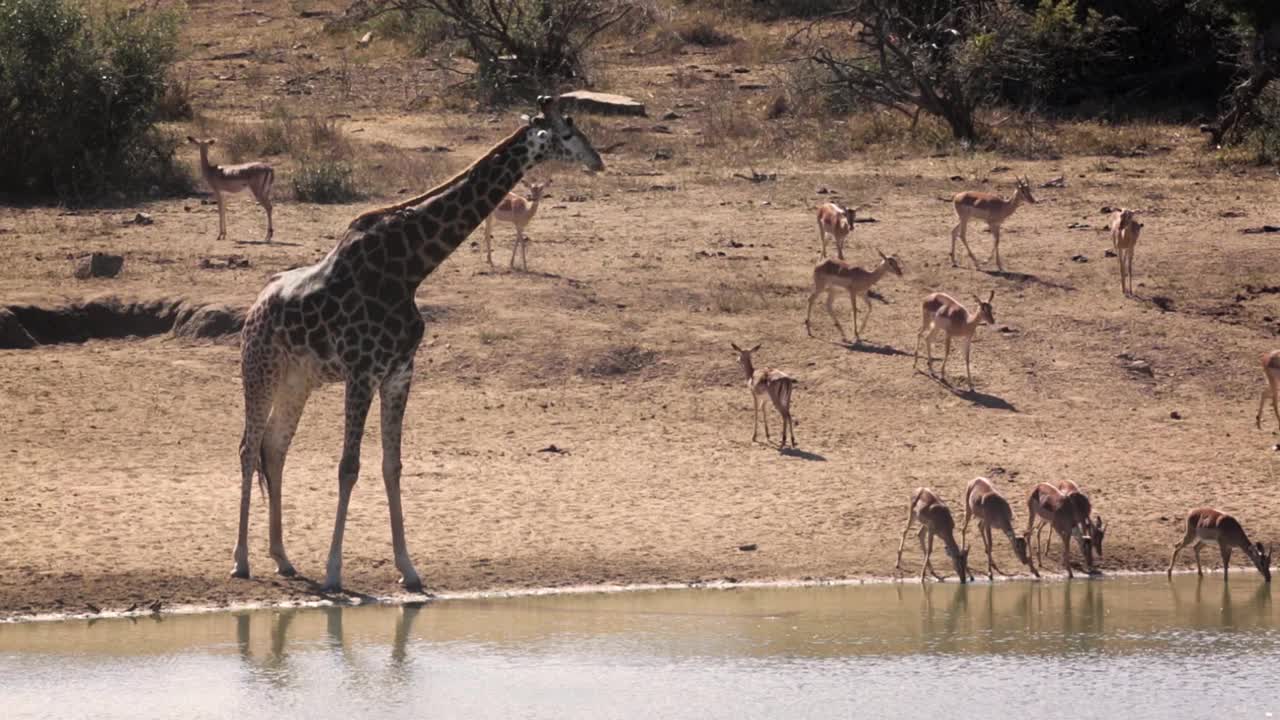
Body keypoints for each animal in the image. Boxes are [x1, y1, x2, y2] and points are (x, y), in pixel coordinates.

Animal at [234, 96, 604, 589]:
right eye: (566, 133)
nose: (598, 160)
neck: (410, 267)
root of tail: (255, 307)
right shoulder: (362, 371)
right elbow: (348, 466)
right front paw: (334, 572)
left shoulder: (399, 372)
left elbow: (392, 466)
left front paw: (408, 568)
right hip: (259, 369)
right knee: (247, 446)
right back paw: (241, 560)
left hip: (299, 380)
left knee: (273, 448)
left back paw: (282, 557)